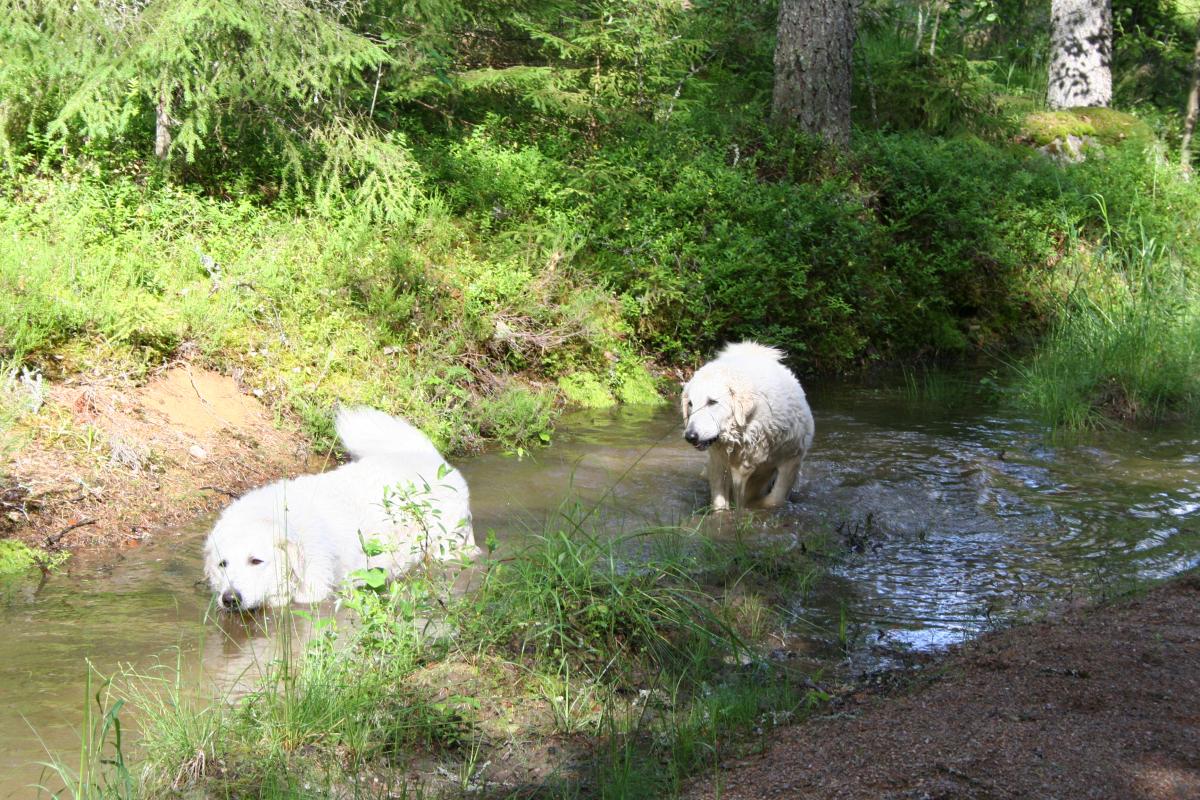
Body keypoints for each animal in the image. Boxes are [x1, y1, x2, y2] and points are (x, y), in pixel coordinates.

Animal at [204, 407, 477, 611]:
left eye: (256, 561)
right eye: (222, 564)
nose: (230, 598)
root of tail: (429, 457)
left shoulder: (315, 591)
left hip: (447, 548)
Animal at [681, 342, 814, 510]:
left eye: (712, 402)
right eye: (690, 404)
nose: (690, 436)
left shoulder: (792, 458)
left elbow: (774, 499)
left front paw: (755, 505)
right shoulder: (719, 462)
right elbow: (719, 502)